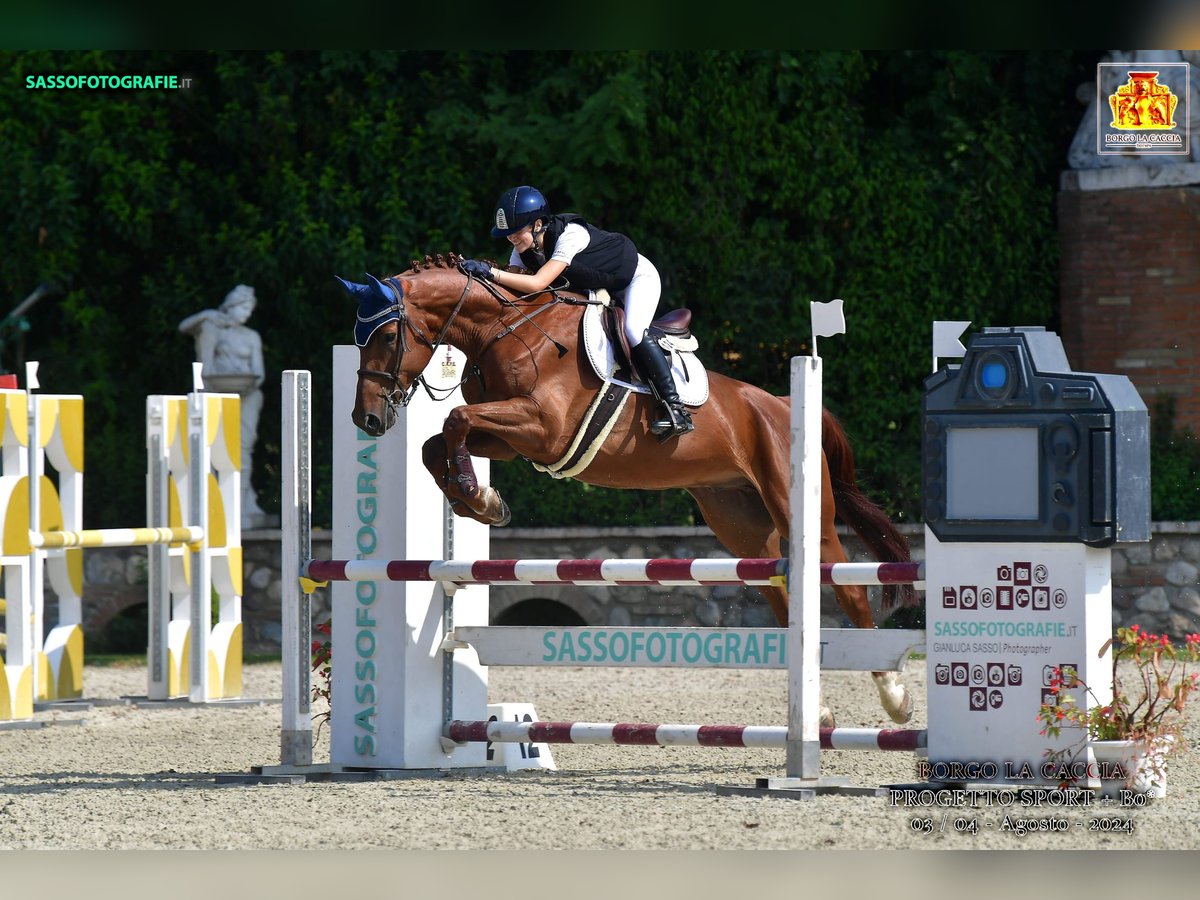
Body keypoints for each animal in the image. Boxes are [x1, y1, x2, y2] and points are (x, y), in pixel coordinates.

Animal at [343, 252, 921, 724]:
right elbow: (437, 440)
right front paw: (479, 501)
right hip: (739, 521)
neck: (506, 329)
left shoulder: (543, 428)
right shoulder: (512, 440)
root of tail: (778, 403)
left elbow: (456, 418)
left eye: (388, 337)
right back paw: (817, 713)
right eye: (357, 339)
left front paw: (475, 494)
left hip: (803, 511)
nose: (366, 420)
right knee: (780, 591)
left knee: (847, 585)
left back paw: (894, 697)